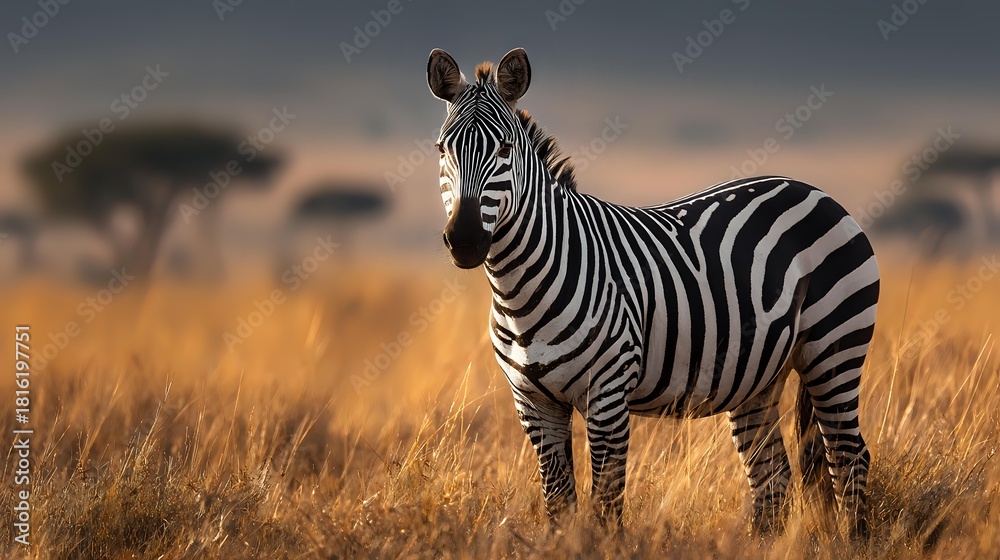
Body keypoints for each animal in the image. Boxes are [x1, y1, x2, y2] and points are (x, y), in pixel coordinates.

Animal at [426, 47, 878, 537]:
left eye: (505, 149)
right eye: (442, 149)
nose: (465, 240)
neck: (520, 291)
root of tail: (812, 190)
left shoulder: (607, 393)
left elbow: (605, 504)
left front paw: (601, 543)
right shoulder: (533, 402)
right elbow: (559, 500)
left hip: (834, 348)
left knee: (848, 455)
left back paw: (853, 540)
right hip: (759, 375)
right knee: (773, 475)